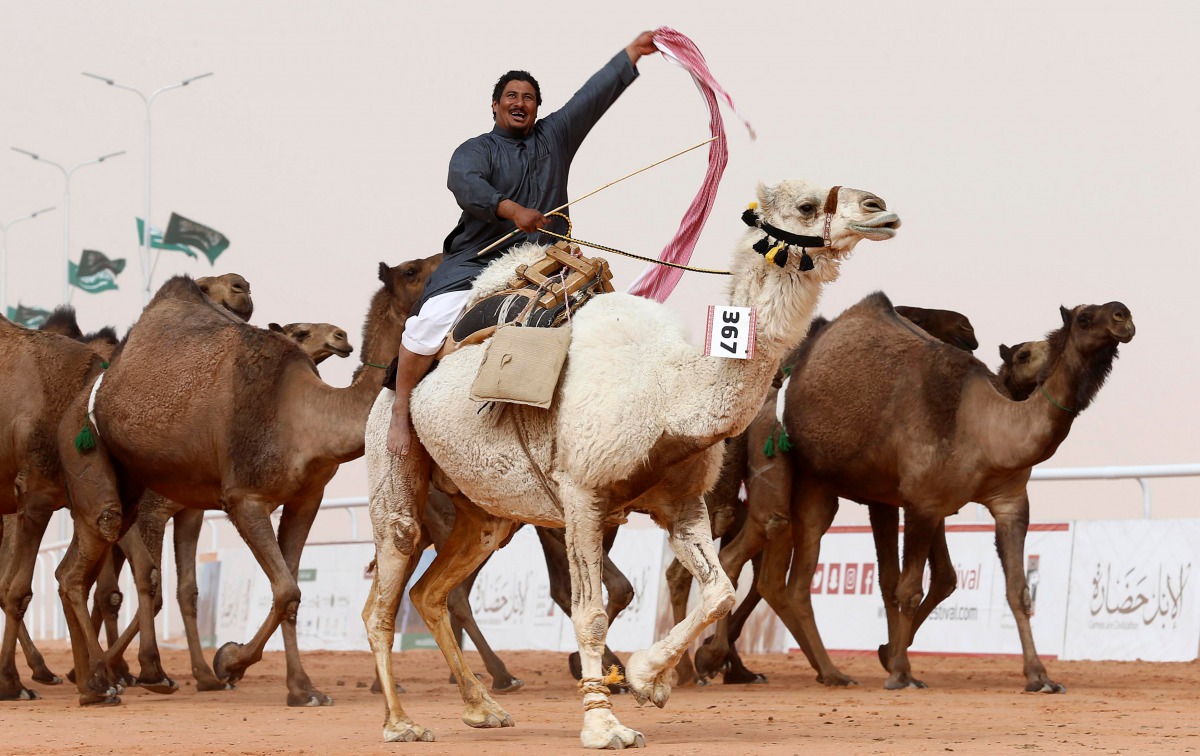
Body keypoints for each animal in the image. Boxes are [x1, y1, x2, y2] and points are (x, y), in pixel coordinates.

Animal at [54, 258, 436, 710]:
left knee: (72, 573)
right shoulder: (243, 499)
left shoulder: (306, 498)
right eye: (412, 271)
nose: (340, 335)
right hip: (91, 458)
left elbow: (290, 589)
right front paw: (228, 662)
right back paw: (110, 678)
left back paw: (90, 681)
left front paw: (301, 689)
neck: (306, 415)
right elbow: (285, 589)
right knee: (94, 562)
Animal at [362, 178, 902, 753]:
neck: (666, 392)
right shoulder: (581, 496)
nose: (880, 209)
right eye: (805, 205)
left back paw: (482, 708)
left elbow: (719, 592)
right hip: (393, 468)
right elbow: (592, 613)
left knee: (431, 592)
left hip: (487, 514)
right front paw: (604, 725)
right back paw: (400, 722)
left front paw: (649, 679)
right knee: (386, 589)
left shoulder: (682, 503)